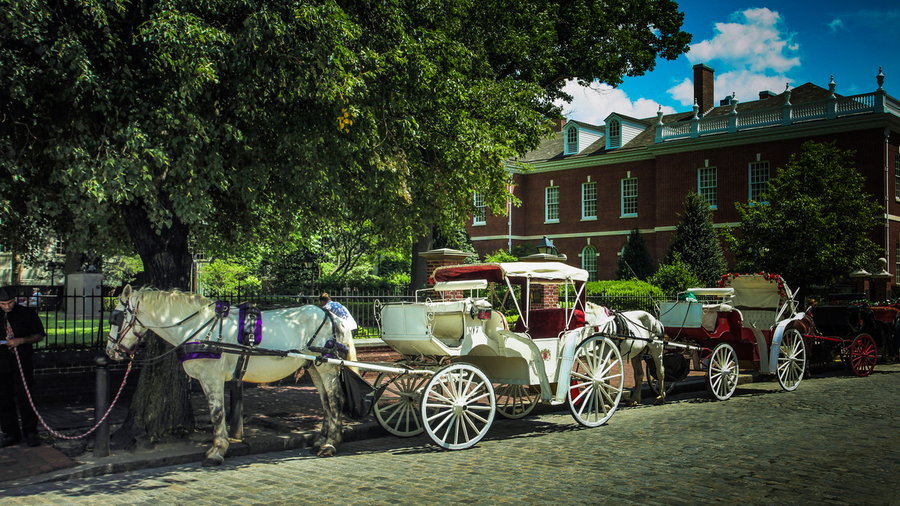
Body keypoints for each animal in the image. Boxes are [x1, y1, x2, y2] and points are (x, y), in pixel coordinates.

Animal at [105, 284, 356, 466]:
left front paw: (217, 450)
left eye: (115, 317)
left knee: (335, 399)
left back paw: (330, 443)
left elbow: (217, 413)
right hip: (314, 365)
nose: (110, 351)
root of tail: (331, 315)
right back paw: (322, 439)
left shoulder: (211, 377)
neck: (198, 327)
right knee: (325, 400)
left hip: (326, 366)